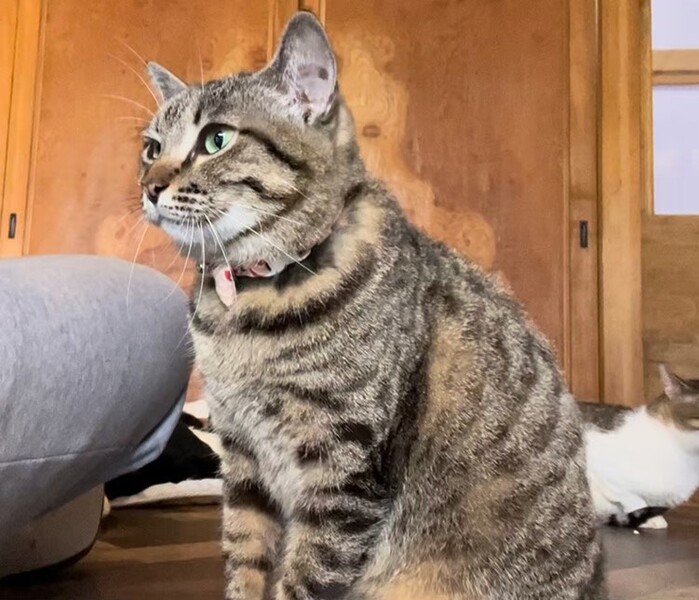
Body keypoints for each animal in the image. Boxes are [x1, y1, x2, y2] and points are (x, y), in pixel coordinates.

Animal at [138, 12, 605, 600]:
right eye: (151, 147)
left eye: (216, 138)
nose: (149, 186)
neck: (250, 301)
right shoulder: (241, 454)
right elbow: (246, 557)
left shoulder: (343, 467)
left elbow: (307, 576)